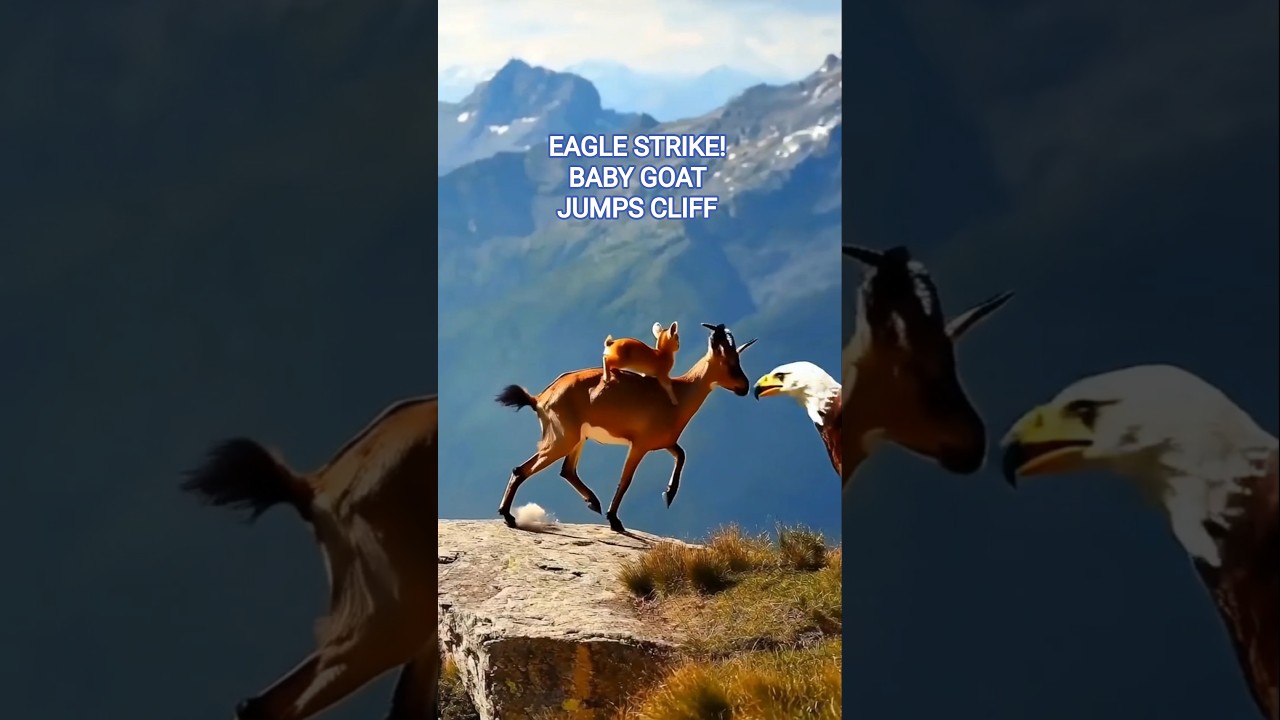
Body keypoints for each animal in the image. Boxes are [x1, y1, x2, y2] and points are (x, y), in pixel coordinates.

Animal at [495, 323, 757, 533]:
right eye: (730, 362)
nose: (745, 387)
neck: (679, 392)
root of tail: (539, 398)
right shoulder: (639, 445)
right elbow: (626, 479)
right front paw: (615, 521)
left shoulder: (663, 443)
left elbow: (681, 455)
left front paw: (668, 495)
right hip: (562, 439)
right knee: (522, 470)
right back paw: (509, 516)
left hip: (577, 439)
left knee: (566, 470)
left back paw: (593, 503)